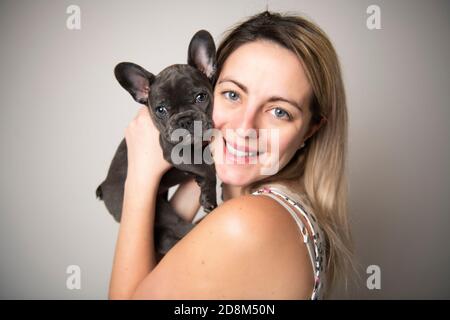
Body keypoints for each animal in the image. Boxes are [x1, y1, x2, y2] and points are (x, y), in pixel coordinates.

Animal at [96, 29, 218, 260]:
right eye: (161, 109)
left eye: (201, 97)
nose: (184, 120)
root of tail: (103, 188)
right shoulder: (175, 152)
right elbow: (207, 166)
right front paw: (209, 195)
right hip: (156, 210)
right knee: (176, 226)